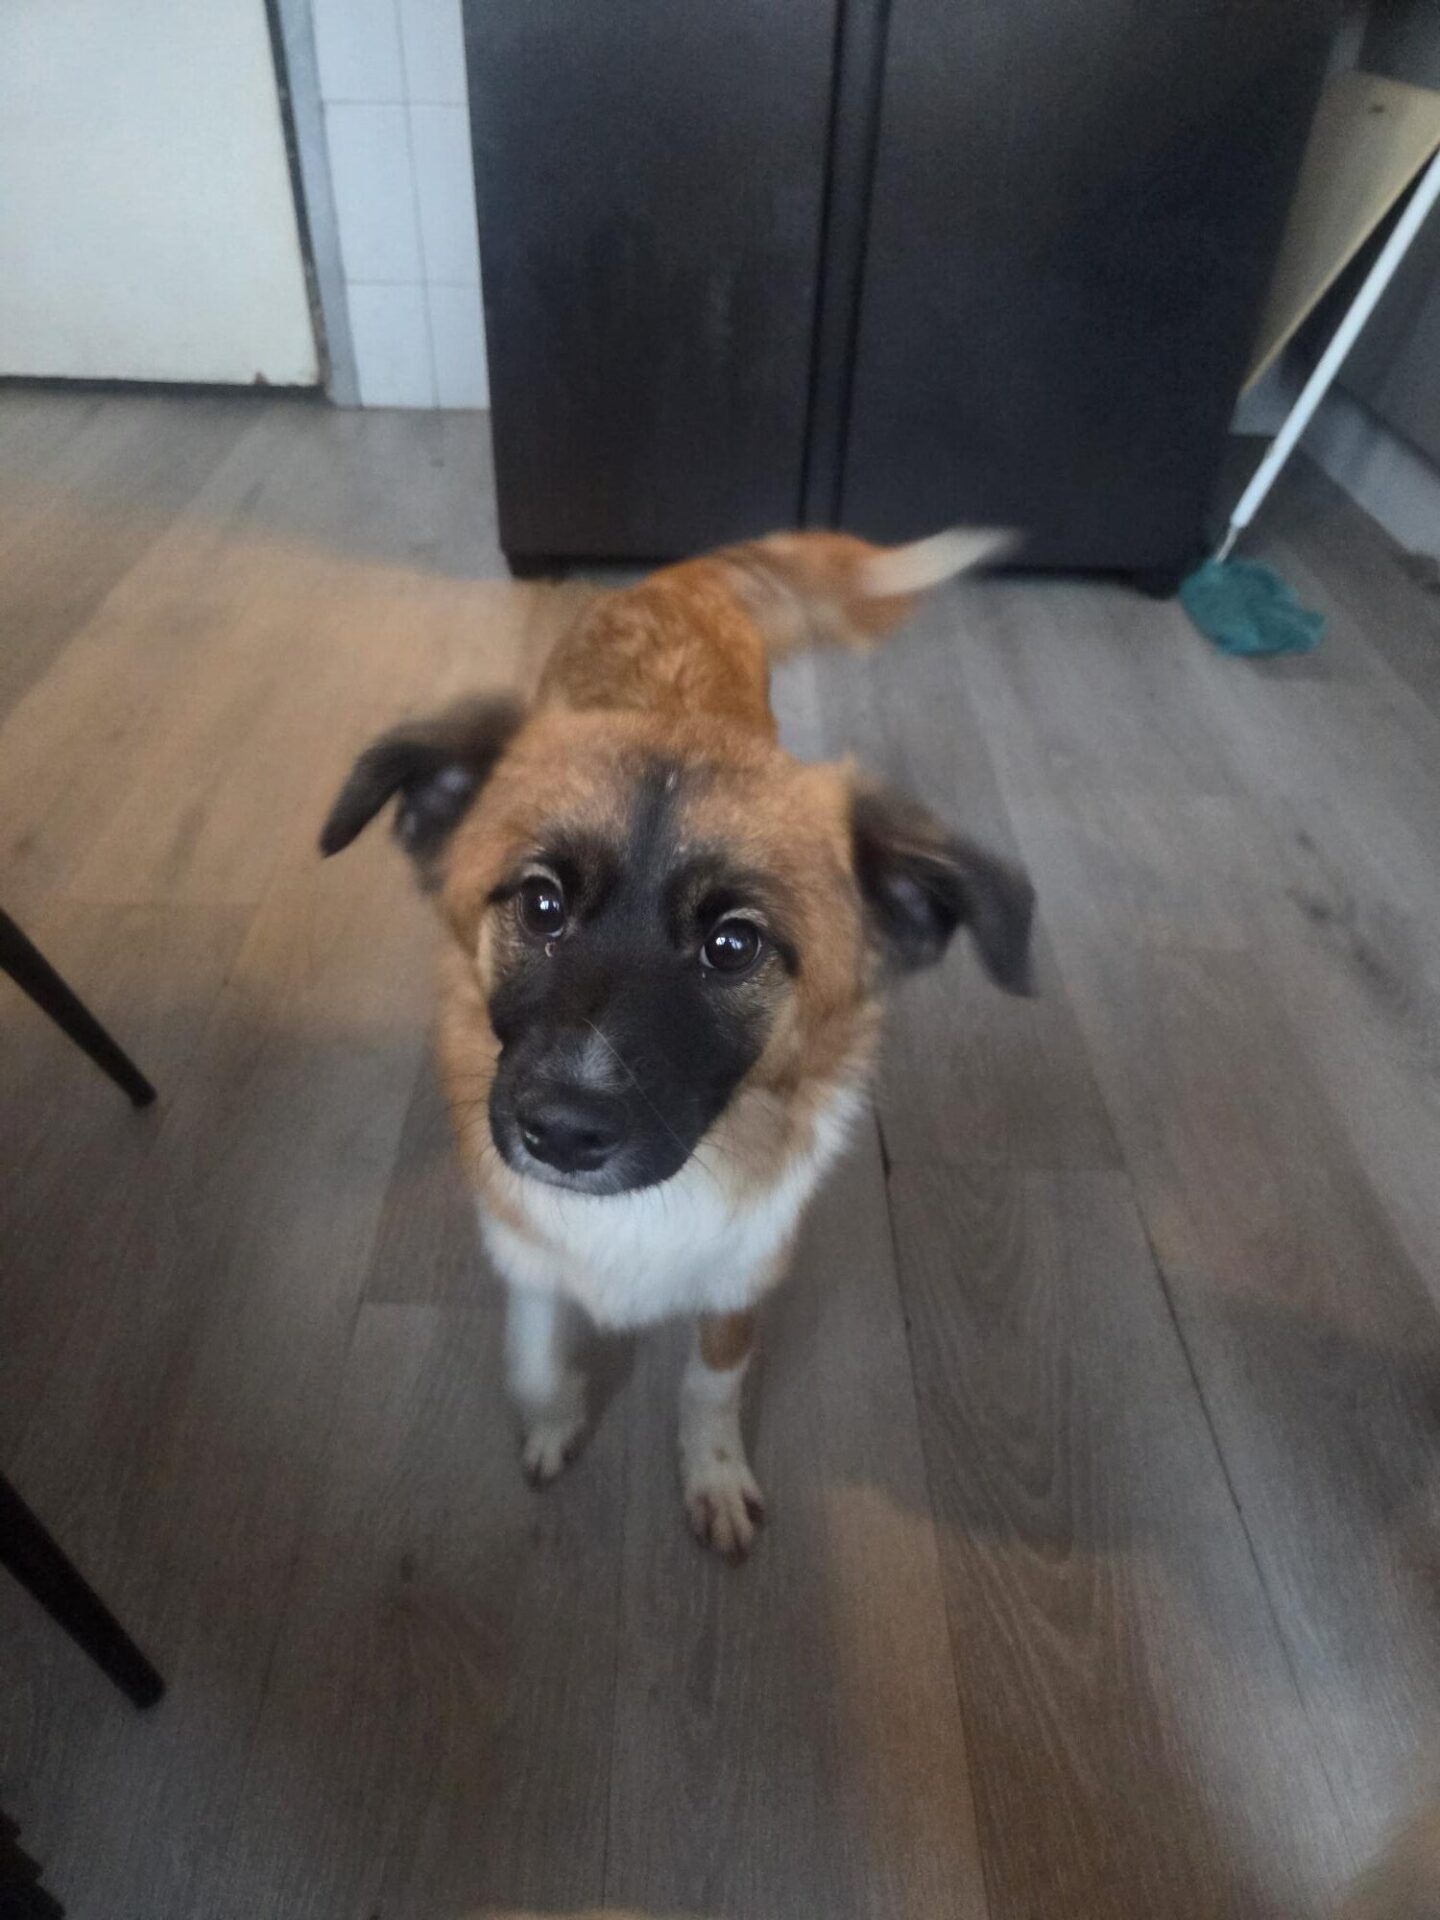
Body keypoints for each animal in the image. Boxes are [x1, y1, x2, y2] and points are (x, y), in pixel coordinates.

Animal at [321, 527, 1033, 1558]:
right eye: (541, 903)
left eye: (733, 945)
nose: (561, 1132)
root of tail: (676, 580)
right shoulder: (525, 1249)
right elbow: (534, 1354)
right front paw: (552, 1420)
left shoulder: (742, 1280)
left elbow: (710, 1384)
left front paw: (714, 1474)